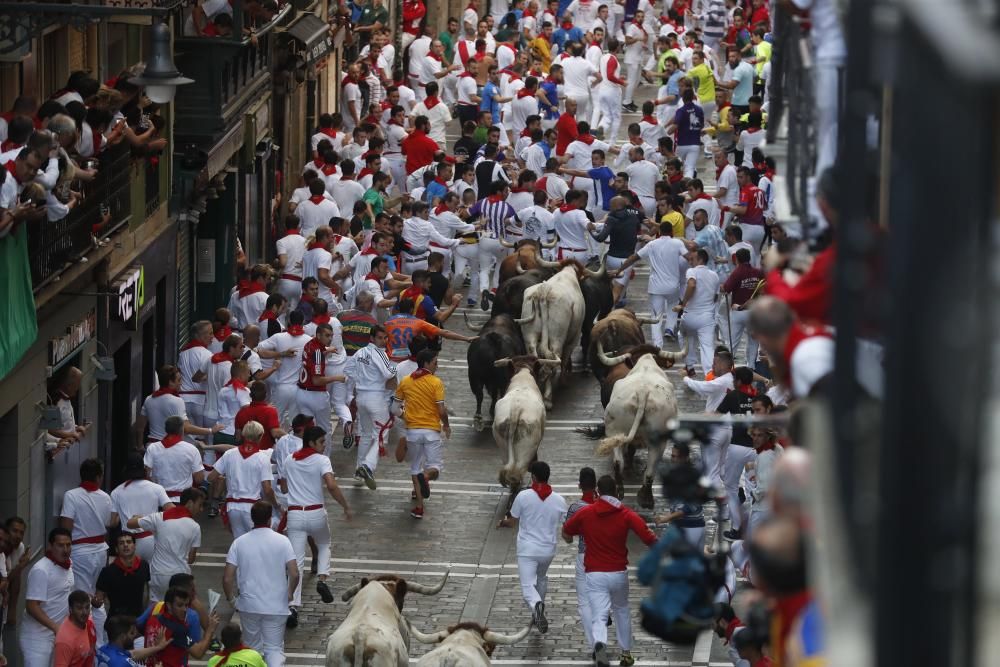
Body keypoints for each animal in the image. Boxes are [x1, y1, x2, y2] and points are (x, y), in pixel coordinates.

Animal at [512, 260, 596, 408]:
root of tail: (543, 292)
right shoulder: (574, 337)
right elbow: (565, 358)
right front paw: (563, 382)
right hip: (557, 338)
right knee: (553, 359)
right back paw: (548, 398)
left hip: (529, 334)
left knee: (535, 355)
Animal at [592, 348, 688, 508]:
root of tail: (642, 392)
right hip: (659, 441)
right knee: (650, 470)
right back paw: (646, 498)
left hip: (614, 430)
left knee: (618, 462)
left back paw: (619, 491)